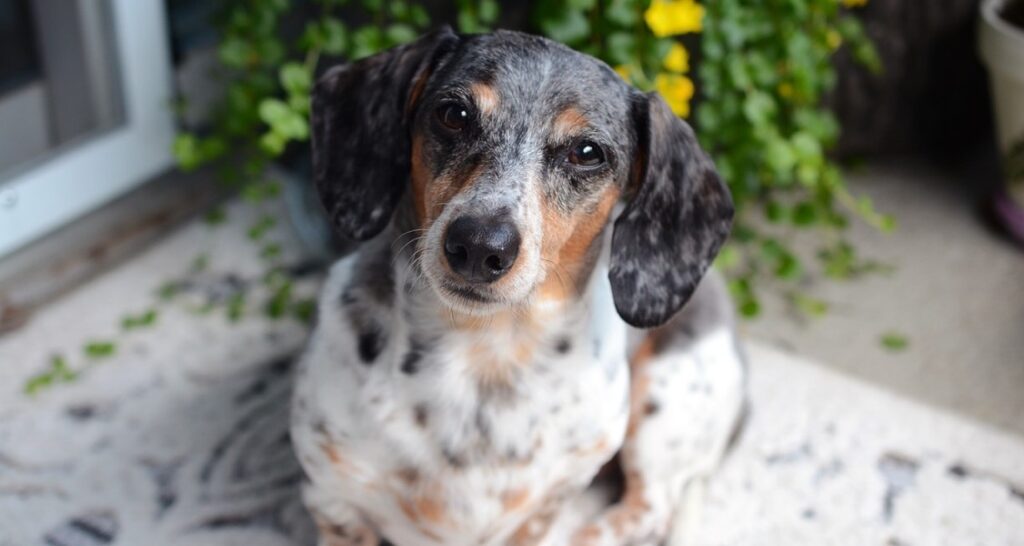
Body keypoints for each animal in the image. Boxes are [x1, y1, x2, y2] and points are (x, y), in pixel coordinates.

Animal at [292, 28, 749, 544]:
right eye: (454, 114)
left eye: (587, 152)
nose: (478, 245)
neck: (483, 352)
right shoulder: (332, 497)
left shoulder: (545, 506)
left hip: (665, 402)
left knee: (650, 506)